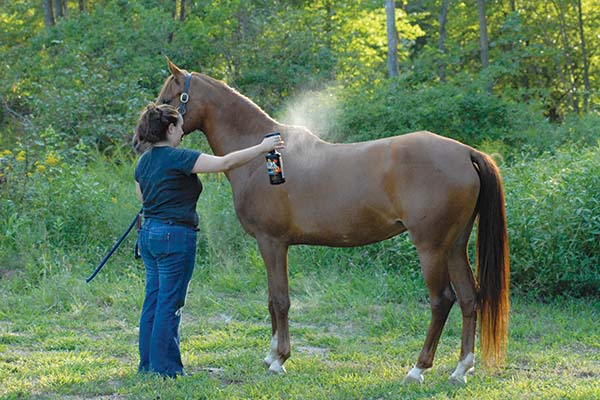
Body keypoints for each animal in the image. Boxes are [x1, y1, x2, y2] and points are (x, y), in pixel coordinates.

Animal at [134, 60, 508, 384]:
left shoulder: (272, 242)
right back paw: (461, 369)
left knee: (441, 300)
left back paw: (418, 369)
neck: (259, 159)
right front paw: (271, 355)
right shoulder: (272, 245)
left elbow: (280, 300)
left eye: (167, 100)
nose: (139, 142)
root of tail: (466, 152)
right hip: (455, 245)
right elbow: (271, 299)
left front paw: (280, 359)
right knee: (469, 298)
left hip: (430, 246)